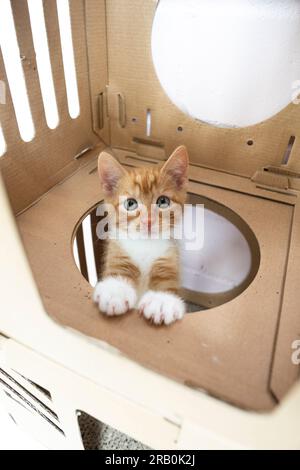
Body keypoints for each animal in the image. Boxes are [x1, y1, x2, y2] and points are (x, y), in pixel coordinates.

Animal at [92, 145, 189, 324]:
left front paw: (161, 300)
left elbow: (166, 279)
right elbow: (119, 270)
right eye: (130, 204)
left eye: (163, 201)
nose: (148, 221)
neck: (145, 244)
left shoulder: (169, 255)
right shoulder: (118, 249)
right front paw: (116, 290)